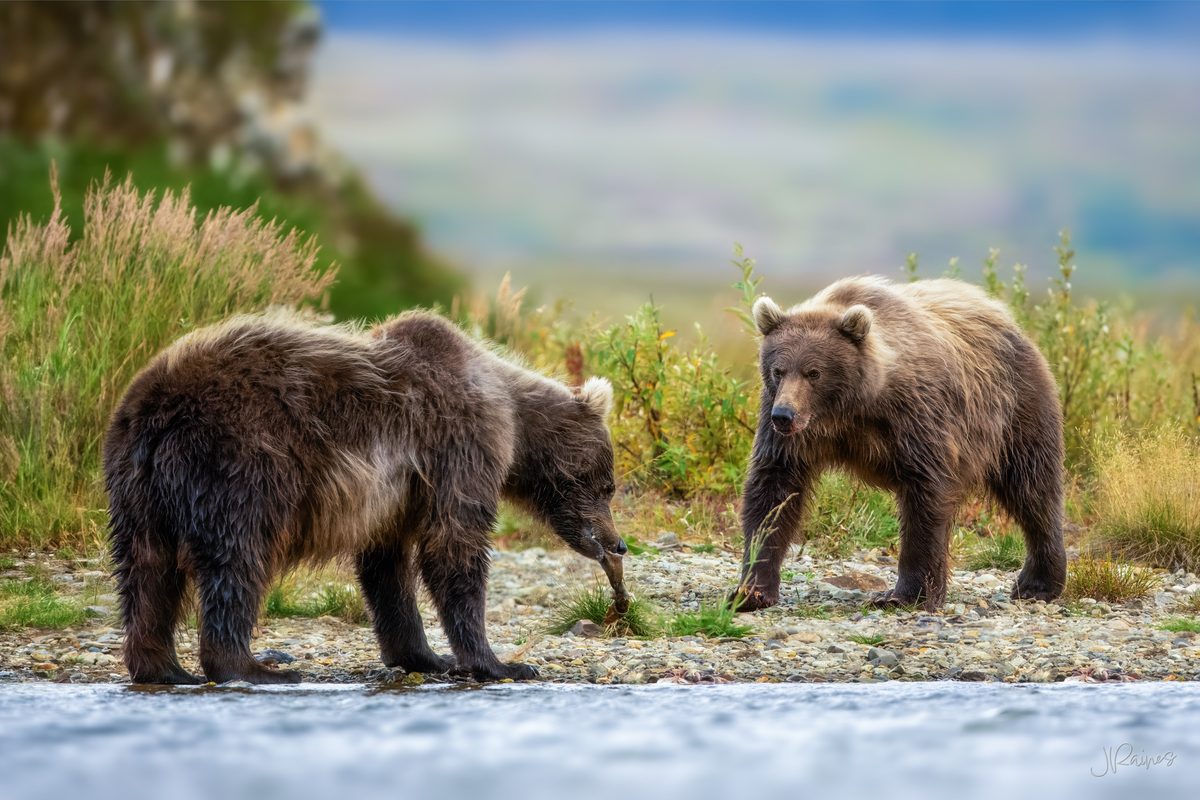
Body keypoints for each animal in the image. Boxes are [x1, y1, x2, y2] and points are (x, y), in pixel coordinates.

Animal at [104, 309, 625, 684]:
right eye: (608, 485)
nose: (617, 543)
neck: (515, 421)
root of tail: (155, 403)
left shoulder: (397, 495)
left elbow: (387, 568)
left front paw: (425, 656)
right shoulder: (461, 442)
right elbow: (453, 545)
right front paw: (500, 663)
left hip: (136, 484)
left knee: (147, 571)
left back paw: (165, 668)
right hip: (239, 461)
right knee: (237, 558)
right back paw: (255, 668)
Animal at [732, 276, 1067, 612]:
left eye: (814, 372)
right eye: (778, 370)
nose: (784, 415)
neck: (850, 408)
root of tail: (1009, 320)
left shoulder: (916, 417)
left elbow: (926, 496)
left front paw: (905, 594)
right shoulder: (790, 435)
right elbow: (773, 494)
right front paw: (751, 591)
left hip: (1016, 410)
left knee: (1032, 488)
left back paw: (1038, 583)